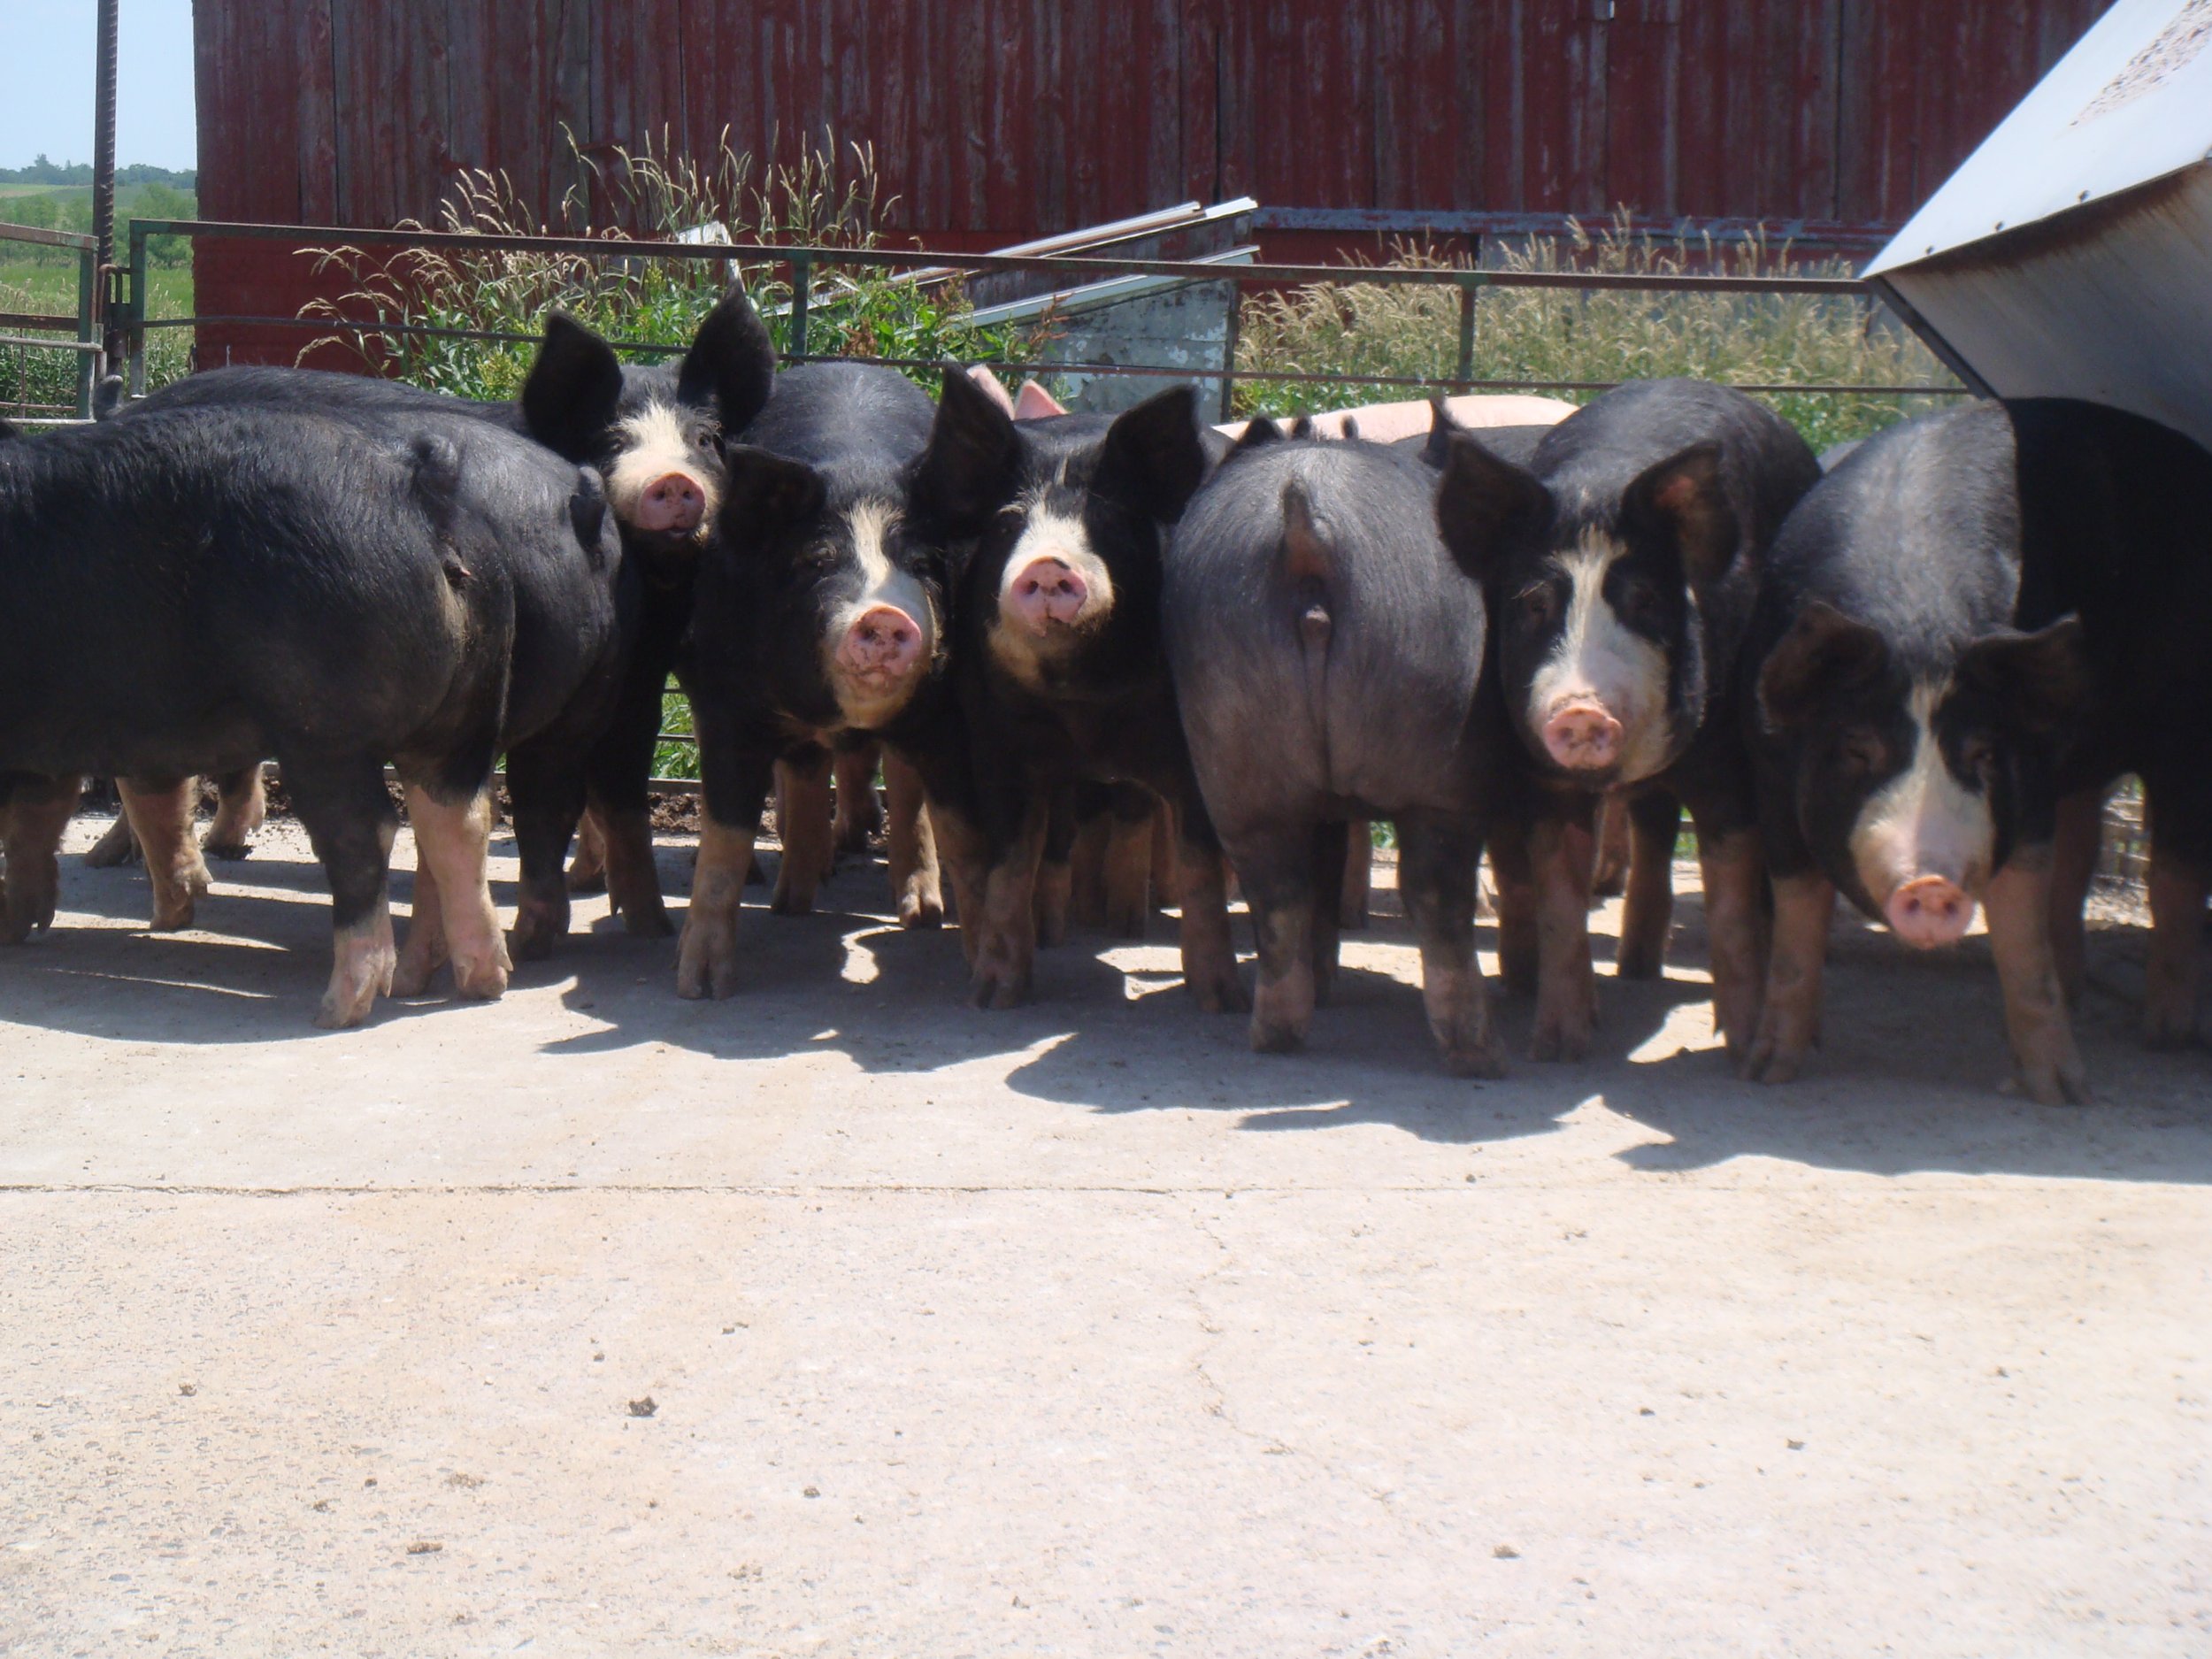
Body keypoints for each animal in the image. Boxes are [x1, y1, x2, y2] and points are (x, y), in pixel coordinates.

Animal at [0, 397, 622, 1026]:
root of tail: (426, 491)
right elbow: (72, 812)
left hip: (323, 726)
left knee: (367, 830)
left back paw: (341, 1007)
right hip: (467, 714)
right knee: (464, 816)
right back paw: (476, 981)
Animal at [675, 362, 951, 998]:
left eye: (921, 565)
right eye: (816, 561)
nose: (885, 614)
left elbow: (913, 800)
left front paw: (924, 918)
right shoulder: (725, 705)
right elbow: (724, 840)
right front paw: (700, 987)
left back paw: (908, 905)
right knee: (807, 769)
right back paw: (793, 899)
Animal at [901, 369, 1243, 1011]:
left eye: (1108, 521)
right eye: (1008, 523)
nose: (1049, 564)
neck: (1084, 703)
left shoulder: (1192, 750)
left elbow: (1201, 867)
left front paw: (1220, 1000)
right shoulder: (997, 745)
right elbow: (1009, 863)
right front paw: (992, 996)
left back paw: (1124, 926)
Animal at [1165, 428, 1514, 1072]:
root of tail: (1306, 529)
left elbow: (1323, 870)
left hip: (1235, 749)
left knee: (1278, 892)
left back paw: (1276, 1034)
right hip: (1442, 746)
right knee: (1436, 889)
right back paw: (1482, 1057)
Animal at [1445, 379, 1822, 1061]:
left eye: (1644, 598)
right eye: (1534, 603)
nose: (1582, 709)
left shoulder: (1727, 765)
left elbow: (1730, 906)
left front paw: (1738, 1050)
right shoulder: (1544, 778)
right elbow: (1560, 900)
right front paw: (1559, 1046)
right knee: (1652, 826)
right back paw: (1634, 969)